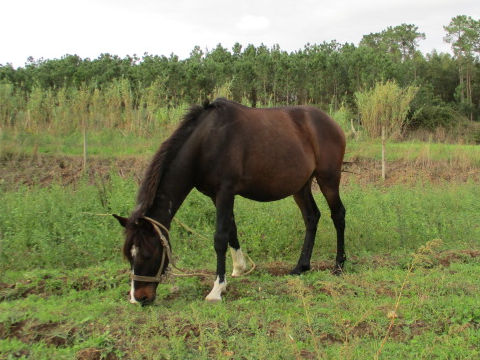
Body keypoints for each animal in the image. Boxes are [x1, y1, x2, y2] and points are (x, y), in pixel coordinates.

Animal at [113, 97, 344, 304]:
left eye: (148, 254)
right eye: (129, 255)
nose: (139, 298)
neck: (206, 142)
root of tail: (331, 123)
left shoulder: (225, 191)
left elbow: (220, 237)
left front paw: (216, 289)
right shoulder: (215, 195)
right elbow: (231, 229)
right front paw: (239, 269)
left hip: (328, 179)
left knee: (338, 215)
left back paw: (339, 265)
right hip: (300, 186)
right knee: (311, 217)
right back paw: (301, 266)